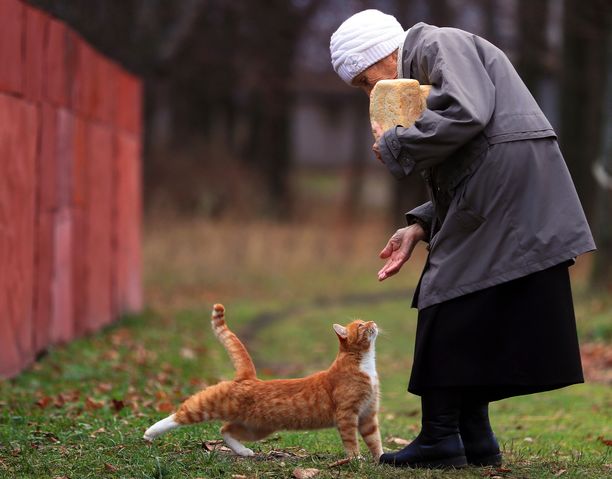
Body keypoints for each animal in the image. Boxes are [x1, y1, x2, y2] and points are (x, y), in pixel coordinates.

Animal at [145, 304, 382, 462]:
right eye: (361, 325)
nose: (374, 322)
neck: (363, 363)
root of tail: (249, 377)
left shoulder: (368, 414)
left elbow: (374, 439)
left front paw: (381, 459)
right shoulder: (347, 414)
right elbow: (351, 440)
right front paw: (356, 459)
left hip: (257, 428)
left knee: (225, 430)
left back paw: (243, 451)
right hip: (213, 404)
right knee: (183, 413)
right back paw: (151, 432)